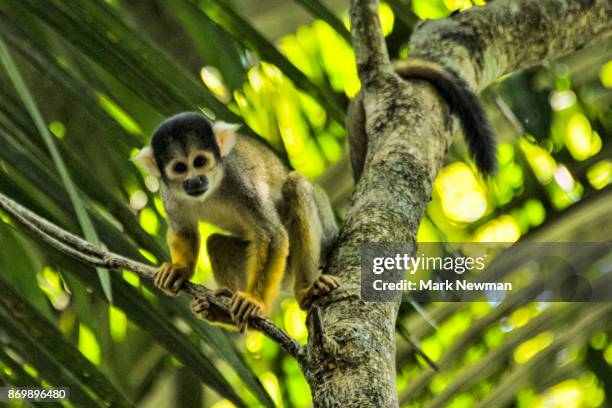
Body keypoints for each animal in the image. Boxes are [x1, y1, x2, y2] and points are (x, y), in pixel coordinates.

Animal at [133, 111, 340, 332]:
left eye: (199, 162)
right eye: (180, 167)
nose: (195, 180)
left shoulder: (240, 179)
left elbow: (271, 235)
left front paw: (254, 300)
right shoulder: (168, 193)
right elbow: (183, 231)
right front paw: (179, 270)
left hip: (323, 234)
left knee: (296, 185)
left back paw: (306, 289)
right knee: (216, 244)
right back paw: (226, 315)